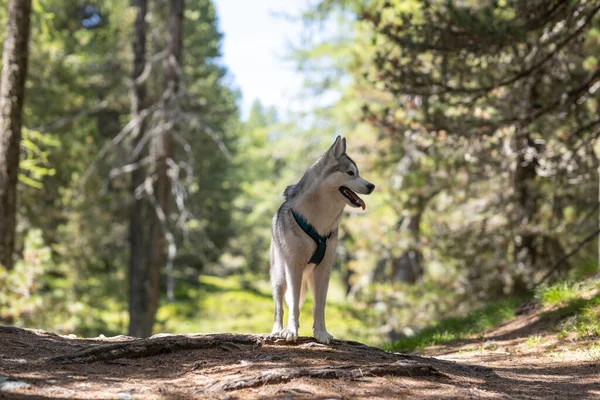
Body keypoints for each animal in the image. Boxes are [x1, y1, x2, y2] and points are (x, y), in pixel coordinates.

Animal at [270, 136, 376, 342]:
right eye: (350, 173)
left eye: (358, 173)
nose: (372, 186)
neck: (319, 221)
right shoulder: (293, 266)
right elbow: (292, 304)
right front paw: (290, 331)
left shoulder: (324, 270)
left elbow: (319, 306)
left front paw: (321, 333)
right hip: (280, 277)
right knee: (280, 307)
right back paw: (278, 329)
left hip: (308, 278)